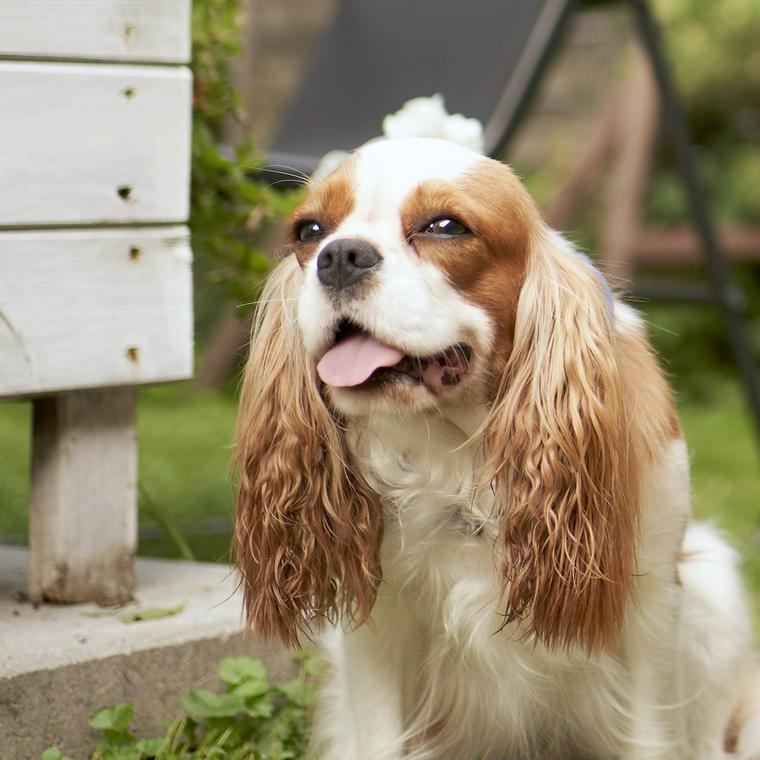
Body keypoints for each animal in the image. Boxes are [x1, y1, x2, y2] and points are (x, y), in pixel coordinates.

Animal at [235, 138, 756, 760]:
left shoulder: (647, 604)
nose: (339, 256)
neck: (461, 448)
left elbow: (651, 737)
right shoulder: (380, 621)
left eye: (445, 226)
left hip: (713, 583)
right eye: (308, 230)